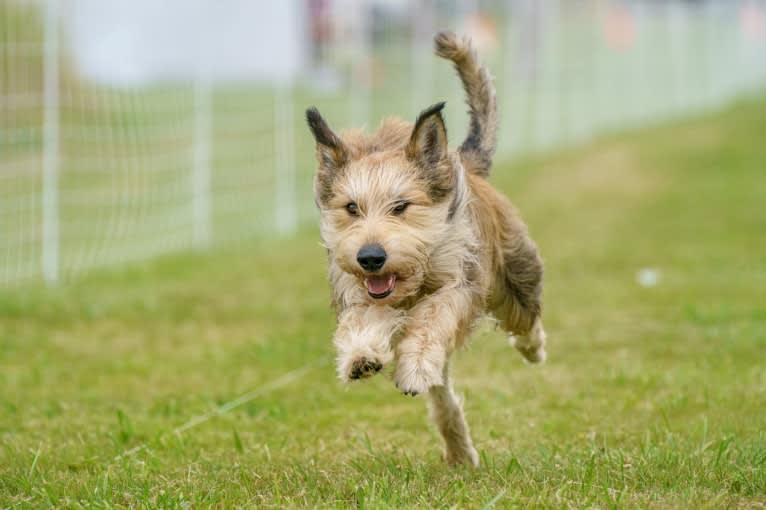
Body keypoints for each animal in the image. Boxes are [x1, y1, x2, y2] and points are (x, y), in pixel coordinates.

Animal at [306, 29, 544, 464]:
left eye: (401, 206)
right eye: (351, 208)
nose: (370, 257)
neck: (413, 276)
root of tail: (460, 161)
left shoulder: (460, 281)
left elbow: (433, 317)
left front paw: (414, 365)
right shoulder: (357, 290)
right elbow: (362, 319)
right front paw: (362, 357)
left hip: (517, 273)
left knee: (526, 318)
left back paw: (531, 348)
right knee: (444, 400)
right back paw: (460, 451)